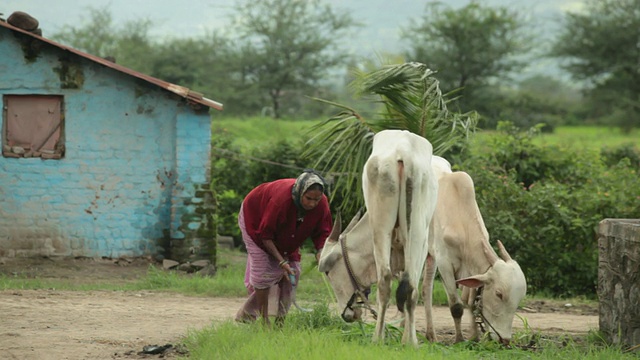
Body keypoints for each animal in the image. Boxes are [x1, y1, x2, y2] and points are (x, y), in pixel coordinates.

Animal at [318, 129, 438, 346]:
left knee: (388, 281)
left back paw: (379, 338)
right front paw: (408, 338)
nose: (346, 315)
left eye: (328, 272)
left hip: (385, 228)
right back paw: (401, 341)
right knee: (402, 283)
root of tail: (403, 151)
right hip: (414, 231)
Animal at [422, 156, 528, 344]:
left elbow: (471, 303)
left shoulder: (471, 270)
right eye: (499, 294)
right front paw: (459, 339)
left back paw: (430, 334)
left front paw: (474, 337)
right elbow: (456, 306)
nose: (505, 340)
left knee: (425, 289)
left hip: (430, 256)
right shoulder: (445, 264)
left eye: (519, 299)